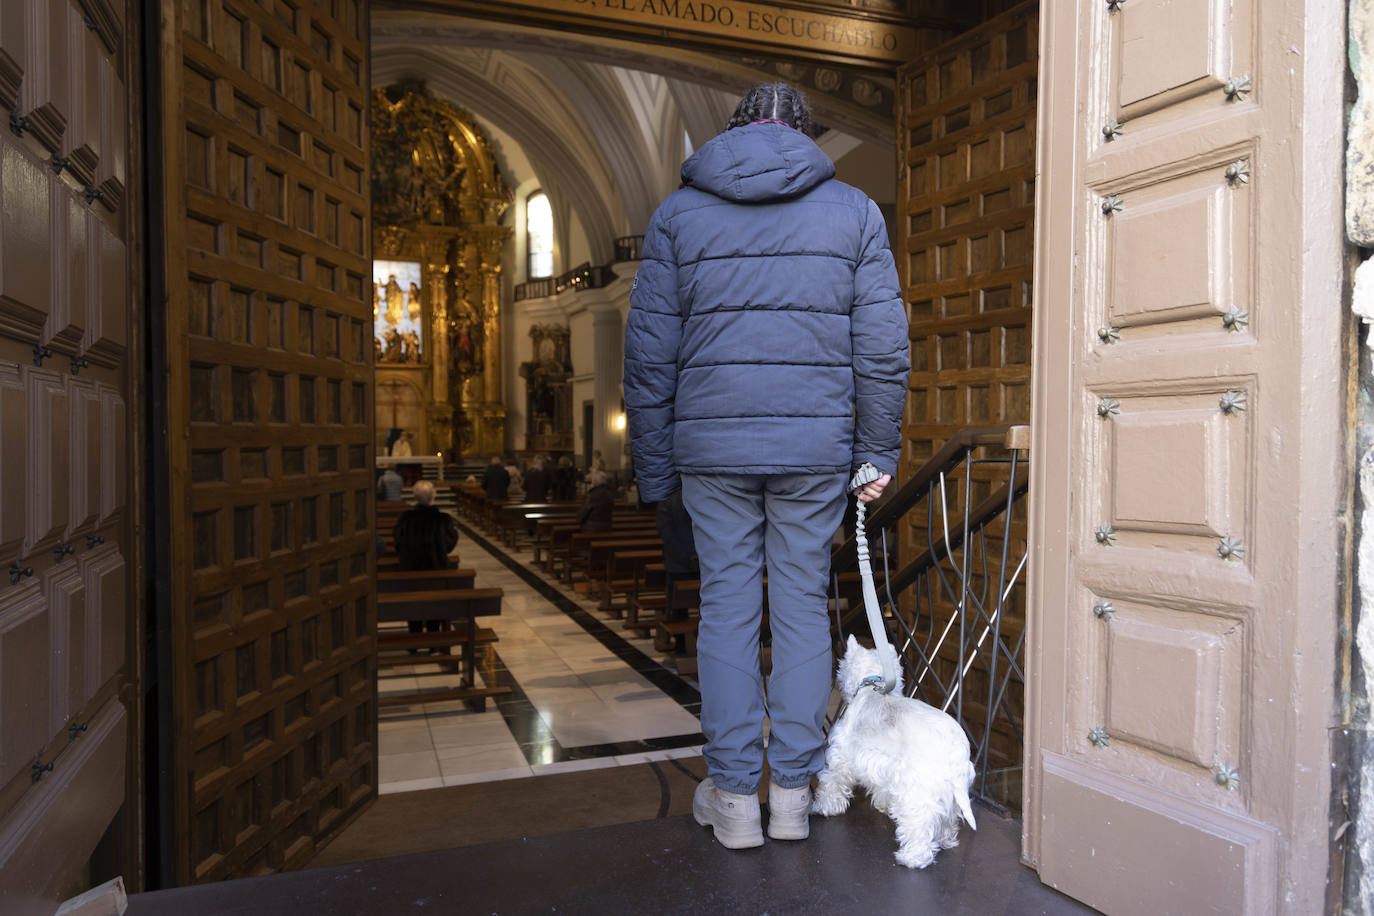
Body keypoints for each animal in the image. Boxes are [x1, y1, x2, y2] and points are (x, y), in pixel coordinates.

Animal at [813, 634, 978, 873]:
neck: (870, 686)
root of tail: (956, 750)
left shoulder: (841, 756)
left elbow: (832, 782)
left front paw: (825, 807)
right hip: (950, 793)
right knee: (947, 818)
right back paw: (946, 840)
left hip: (916, 795)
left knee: (919, 830)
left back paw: (911, 859)